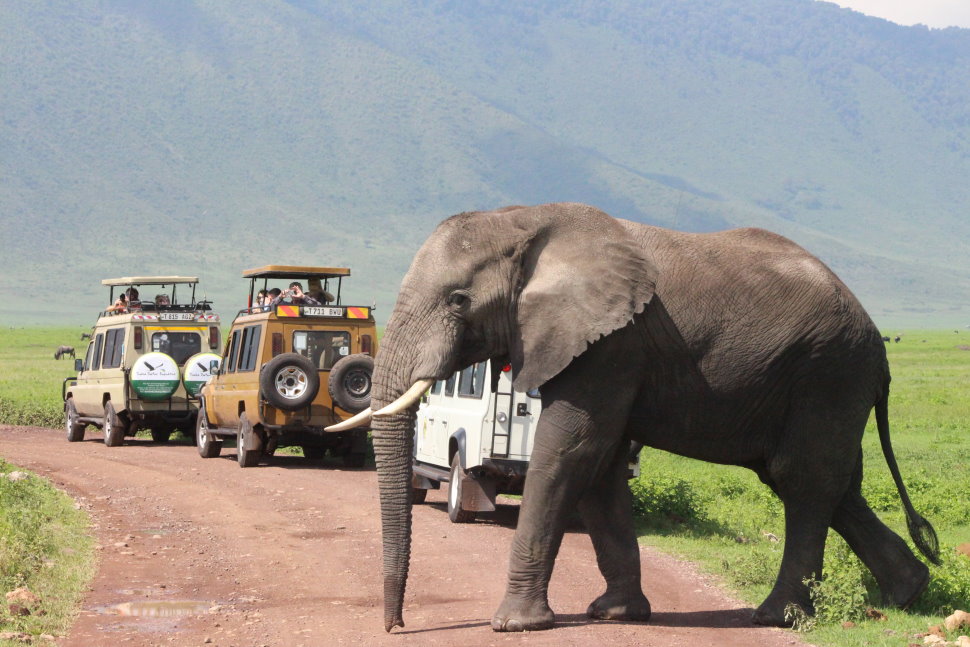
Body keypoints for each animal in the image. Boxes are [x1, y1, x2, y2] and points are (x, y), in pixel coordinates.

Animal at [328, 201, 932, 632]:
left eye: (458, 300)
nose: (396, 626)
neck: (524, 221)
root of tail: (878, 348)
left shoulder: (613, 344)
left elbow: (572, 452)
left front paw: (513, 624)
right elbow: (600, 465)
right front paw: (616, 614)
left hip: (828, 373)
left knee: (804, 481)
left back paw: (776, 617)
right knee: (821, 482)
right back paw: (910, 592)